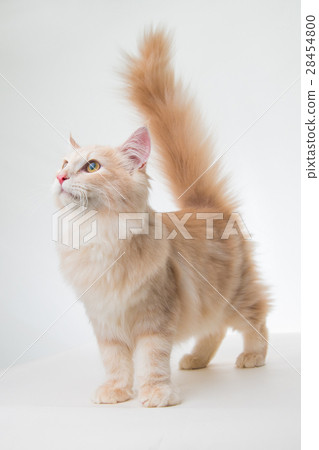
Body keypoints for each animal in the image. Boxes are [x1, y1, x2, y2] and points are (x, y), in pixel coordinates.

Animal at [52, 28, 270, 408]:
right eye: (65, 163)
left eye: (91, 166)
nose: (60, 177)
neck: (98, 235)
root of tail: (205, 205)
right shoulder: (105, 322)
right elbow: (115, 361)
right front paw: (116, 392)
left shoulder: (154, 319)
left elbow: (151, 360)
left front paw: (156, 394)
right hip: (211, 301)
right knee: (213, 330)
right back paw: (196, 360)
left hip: (235, 294)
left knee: (256, 317)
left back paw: (253, 356)